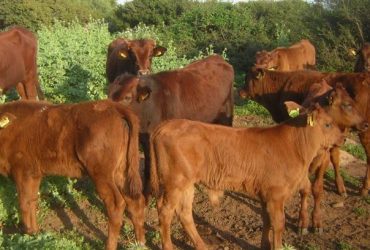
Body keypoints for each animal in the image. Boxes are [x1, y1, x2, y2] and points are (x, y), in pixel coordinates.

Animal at [0, 99, 145, 250]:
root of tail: (112, 106)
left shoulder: (22, 172)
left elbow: (24, 204)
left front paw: (28, 234)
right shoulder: (34, 174)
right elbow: (32, 201)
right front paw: (35, 233)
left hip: (101, 174)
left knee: (116, 204)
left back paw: (110, 246)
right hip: (122, 171)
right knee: (135, 200)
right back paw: (140, 243)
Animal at [150, 103, 344, 250]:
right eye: (328, 124)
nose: (343, 138)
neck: (296, 146)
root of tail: (165, 125)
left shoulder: (266, 194)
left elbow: (267, 220)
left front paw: (265, 245)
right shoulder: (276, 194)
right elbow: (278, 224)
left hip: (187, 184)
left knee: (184, 213)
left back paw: (202, 246)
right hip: (175, 182)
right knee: (165, 212)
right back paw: (169, 247)